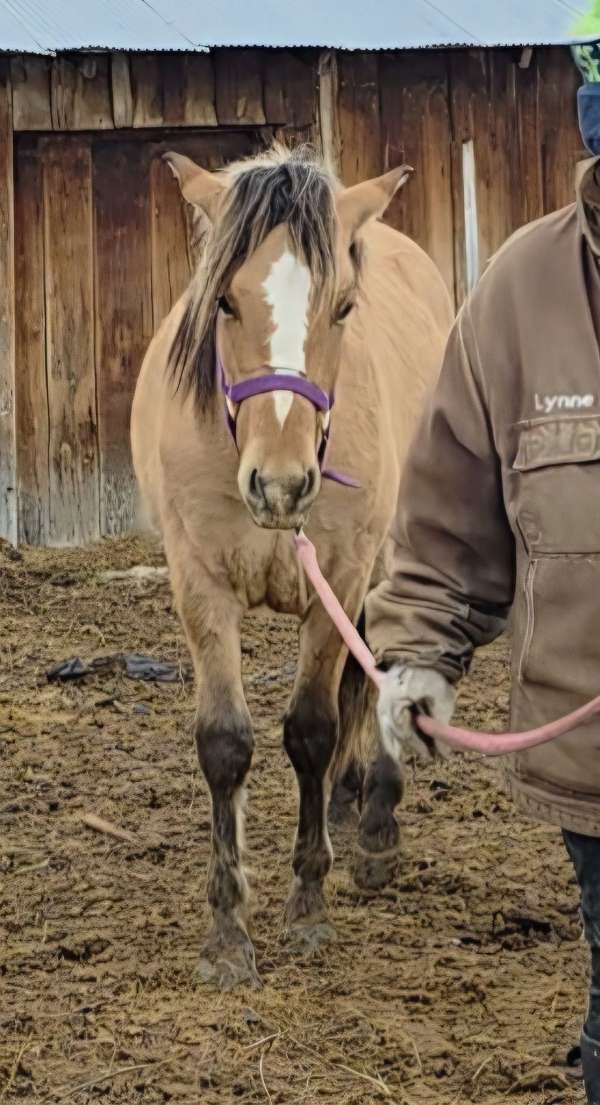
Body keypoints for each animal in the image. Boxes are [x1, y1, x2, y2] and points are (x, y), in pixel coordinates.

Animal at [131, 145, 453, 989]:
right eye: (224, 302)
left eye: (342, 307)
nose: (279, 484)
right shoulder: (199, 583)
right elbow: (225, 742)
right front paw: (227, 930)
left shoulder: (337, 577)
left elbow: (311, 726)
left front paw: (307, 900)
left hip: (386, 560)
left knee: (375, 681)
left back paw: (373, 823)